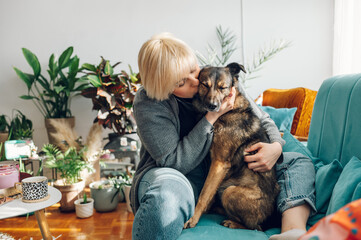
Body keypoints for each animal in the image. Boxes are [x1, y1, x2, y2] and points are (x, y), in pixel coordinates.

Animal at [184, 62, 280, 231]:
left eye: (223, 87)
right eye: (204, 84)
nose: (212, 106)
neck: (226, 113)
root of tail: (269, 221)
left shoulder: (219, 163)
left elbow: (204, 194)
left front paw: (193, 218)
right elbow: (208, 192)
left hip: (229, 191)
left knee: (254, 227)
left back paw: (232, 222)